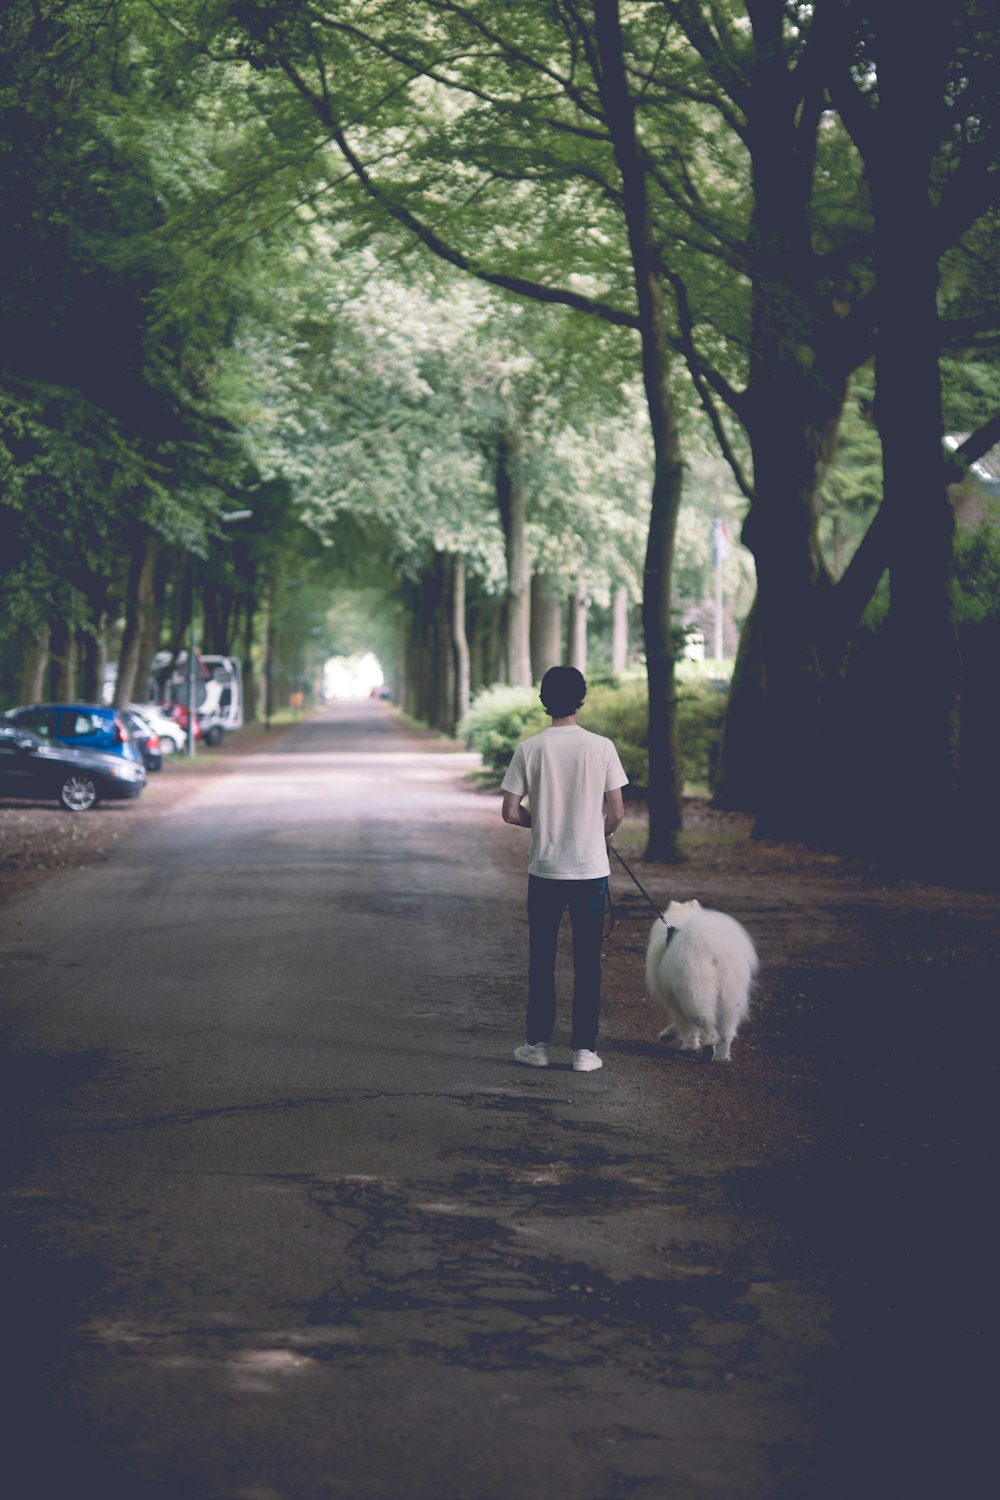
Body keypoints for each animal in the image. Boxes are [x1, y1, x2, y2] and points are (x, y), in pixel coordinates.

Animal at [650, 894, 758, 1062]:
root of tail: (714, 948)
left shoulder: (674, 999)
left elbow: (685, 1025)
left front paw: (688, 1044)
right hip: (730, 999)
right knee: (728, 1032)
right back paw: (722, 1056)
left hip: (696, 994)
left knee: (707, 1023)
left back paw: (709, 1048)